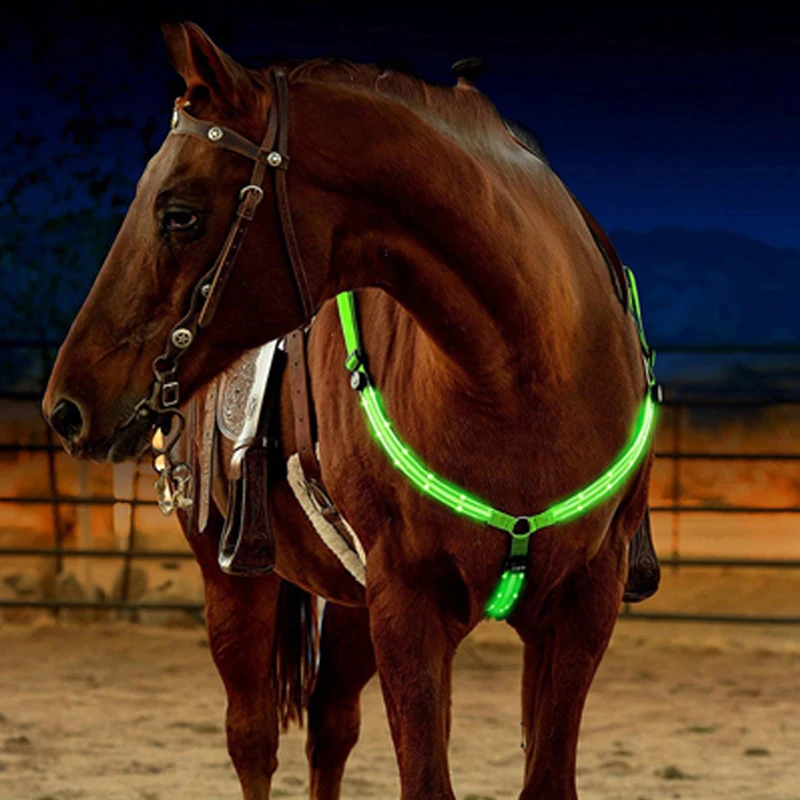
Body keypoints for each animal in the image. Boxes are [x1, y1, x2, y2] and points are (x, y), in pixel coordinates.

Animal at [43, 22, 657, 799]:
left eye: (179, 214)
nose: (66, 407)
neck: (524, 374)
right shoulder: (408, 605)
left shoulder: (581, 605)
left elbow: (542, 777)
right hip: (235, 580)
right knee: (253, 739)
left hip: (351, 604)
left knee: (330, 727)